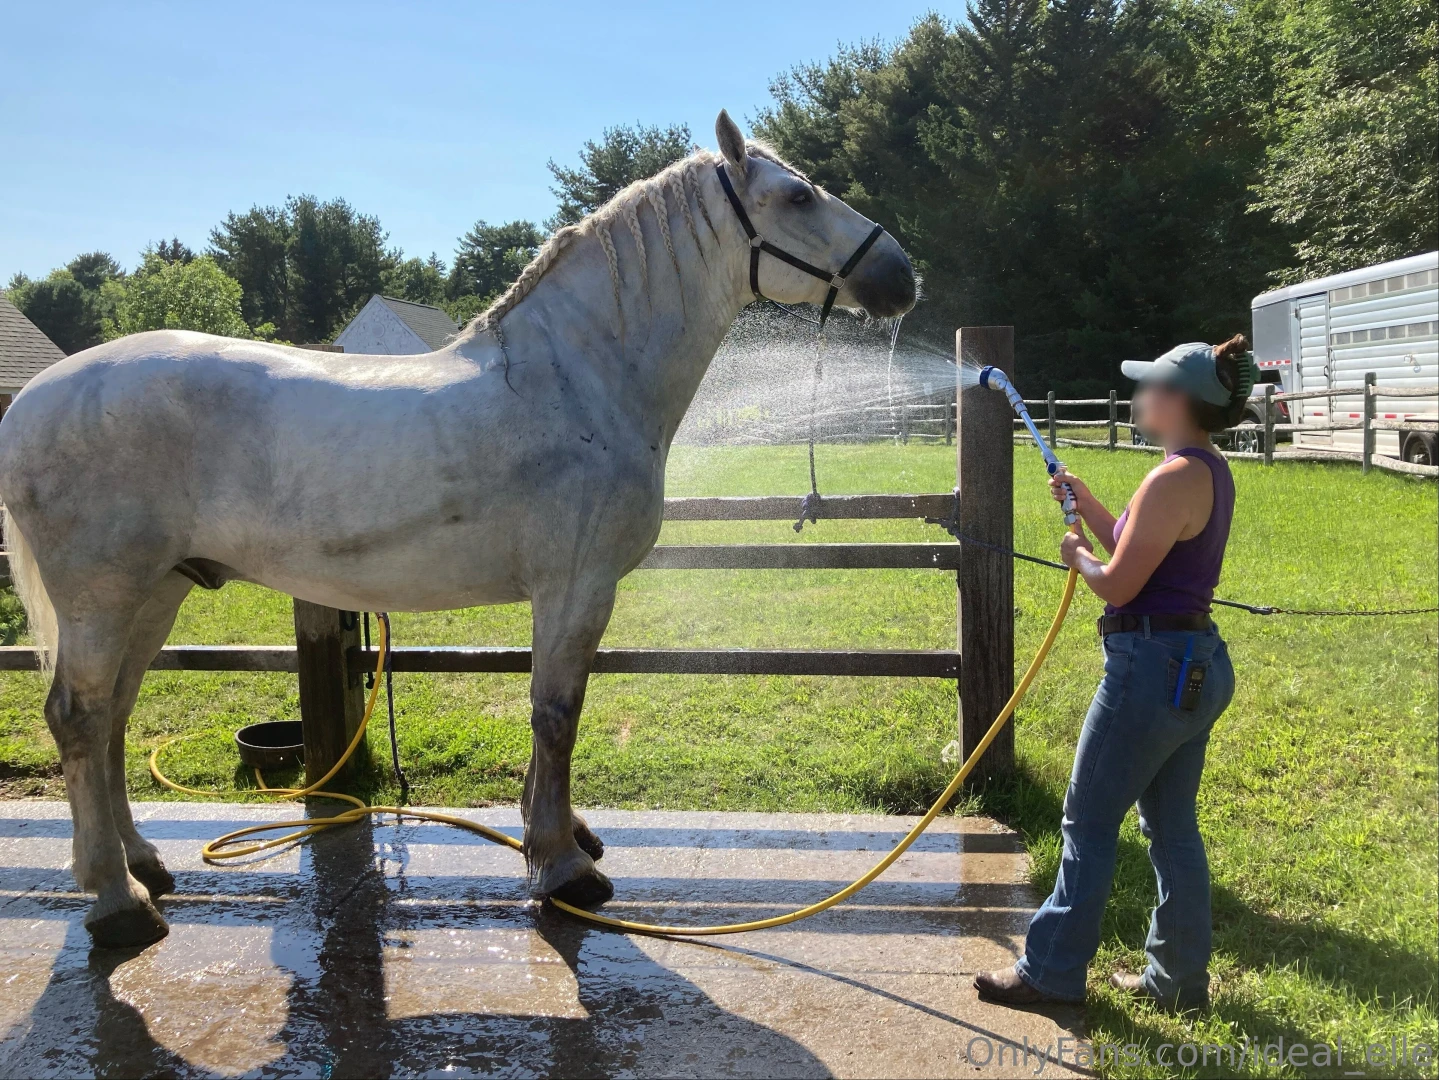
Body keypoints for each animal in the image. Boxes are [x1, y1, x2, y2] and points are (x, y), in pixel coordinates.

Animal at [0, 110, 916, 949]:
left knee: (112, 716)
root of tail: (34, 399)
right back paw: (117, 902)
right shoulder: (575, 585)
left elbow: (555, 713)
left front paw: (562, 838)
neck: (575, 376)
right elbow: (556, 712)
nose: (901, 276)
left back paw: (142, 863)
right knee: (79, 716)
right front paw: (562, 868)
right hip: (102, 596)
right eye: (796, 195)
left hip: (157, 591)